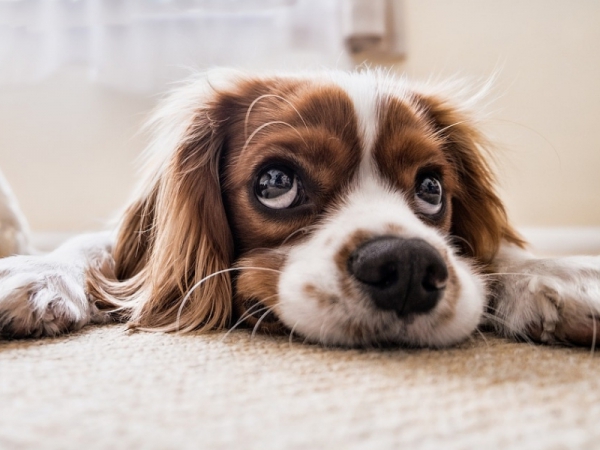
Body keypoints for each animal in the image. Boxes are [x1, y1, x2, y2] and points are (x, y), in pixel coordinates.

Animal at [1, 68, 600, 346]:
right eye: (276, 182)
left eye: (432, 189)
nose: (408, 266)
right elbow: (93, 245)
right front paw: (37, 272)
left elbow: (499, 251)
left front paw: (559, 274)